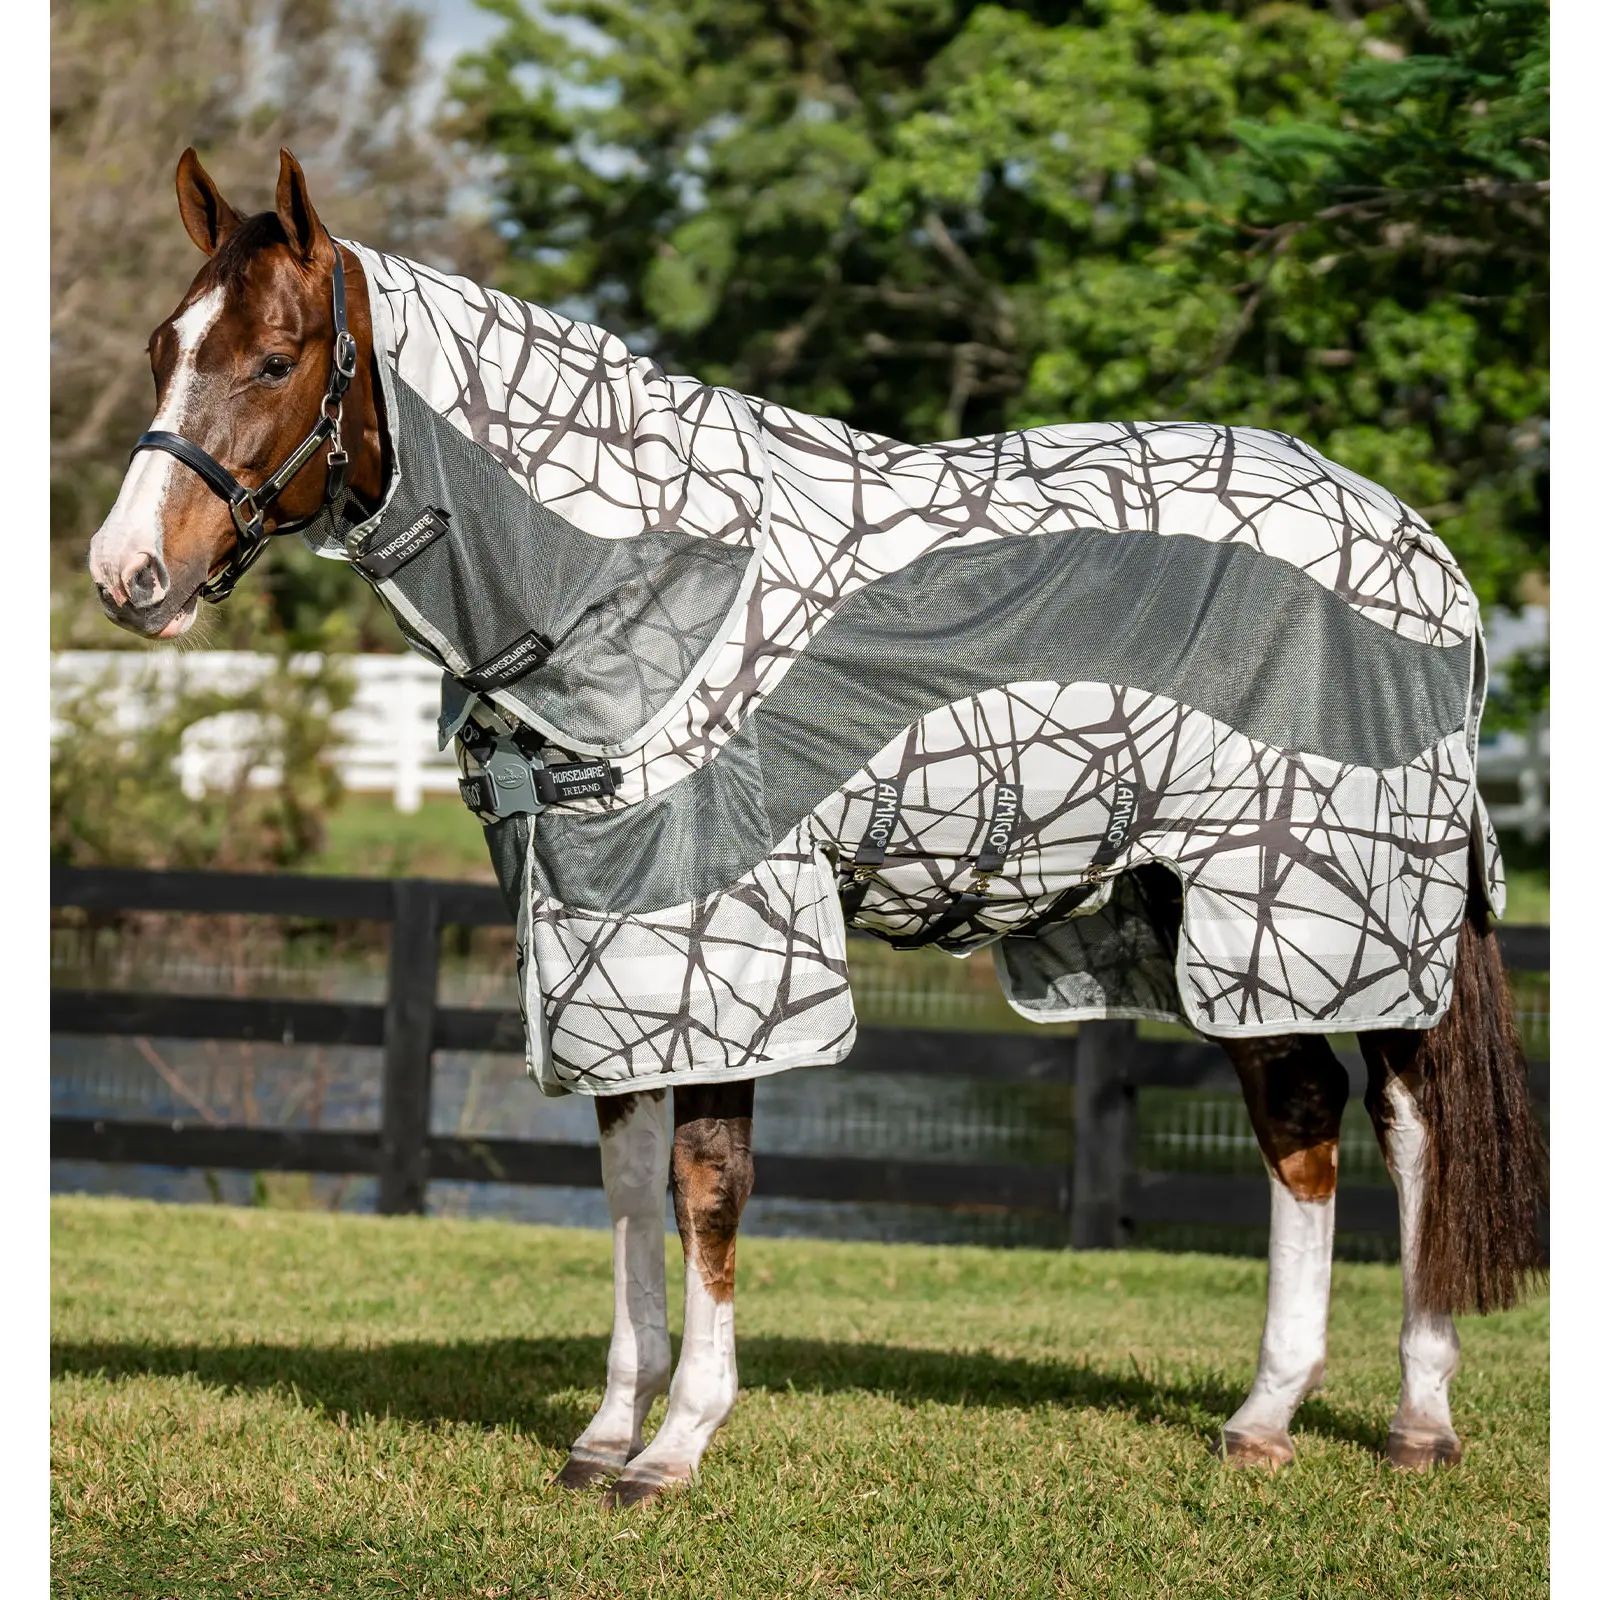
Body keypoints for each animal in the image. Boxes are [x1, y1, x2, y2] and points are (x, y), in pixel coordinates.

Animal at [87, 148, 1546, 1508]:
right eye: (162, 346)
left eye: (275, 359)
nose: (126, 575)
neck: (628, 578)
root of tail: (1424, 551)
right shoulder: (600, 935)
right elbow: (626, 1184)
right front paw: (606, 1429)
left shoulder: (721, 931)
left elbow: (706, 1183)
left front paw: (677, 1442)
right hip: (1213, 911)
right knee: (1298, 1116)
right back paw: (1264, 1416)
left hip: (1330, 900)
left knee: (1410, 1123)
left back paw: (1418, 1416)